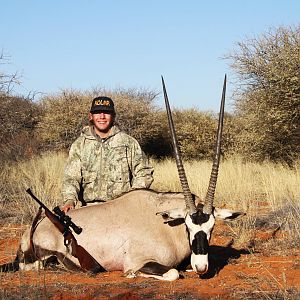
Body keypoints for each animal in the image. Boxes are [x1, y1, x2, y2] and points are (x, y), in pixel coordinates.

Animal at [0, 75, 244, 282]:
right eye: (188, 226)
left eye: (211, 228)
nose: (202, 267)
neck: (165, 225)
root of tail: (30, 231)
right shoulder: (141, 261)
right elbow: (173, 273)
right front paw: (133, 275)